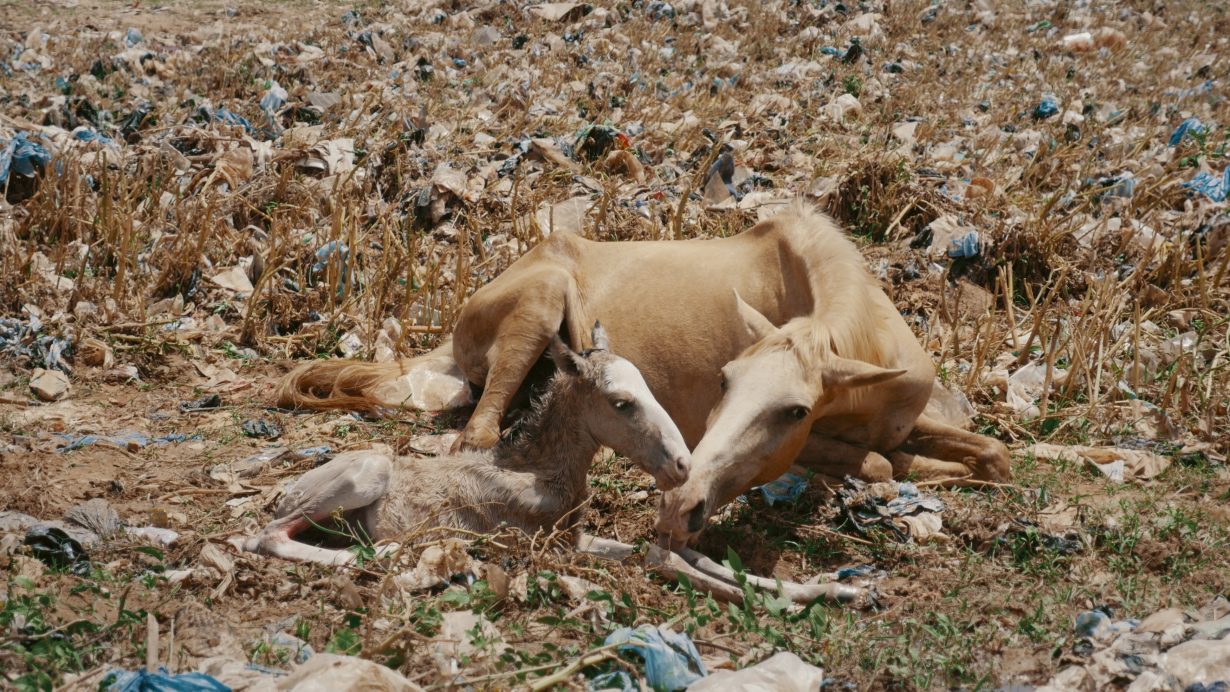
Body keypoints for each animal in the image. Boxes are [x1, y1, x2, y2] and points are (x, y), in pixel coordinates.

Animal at [279, 202, 1008, 533]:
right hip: (541, 302)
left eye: (794, 408)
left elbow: (993, 457)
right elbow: (882, 465)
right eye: (723, 384)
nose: (683, 499)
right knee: (477, 433)